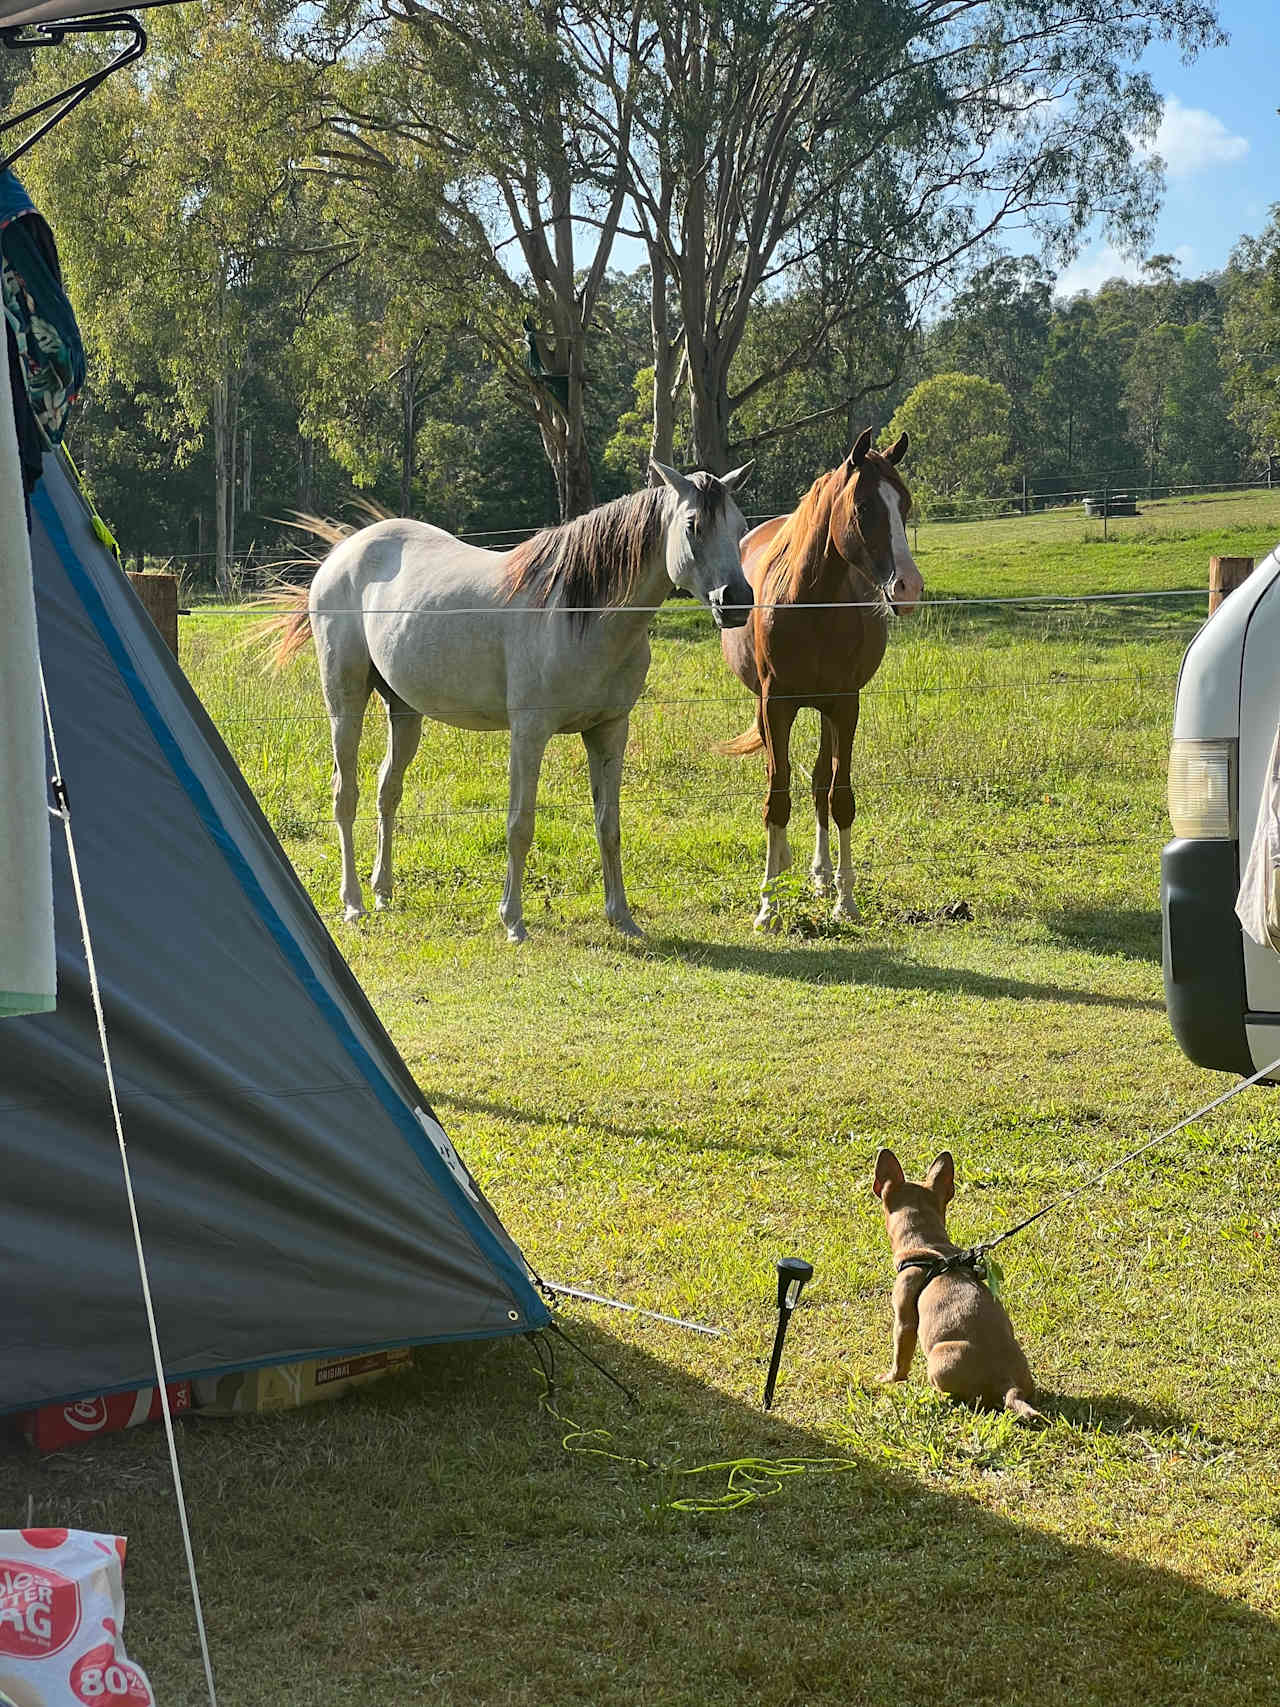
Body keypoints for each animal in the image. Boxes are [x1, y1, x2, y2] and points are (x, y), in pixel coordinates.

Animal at [266, 460, 757, 942]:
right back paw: (353, 904)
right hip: (345, 700)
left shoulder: (610, 731)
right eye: (693, 525)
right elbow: (520, 825)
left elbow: (609, 826)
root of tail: (343, 551)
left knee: (388, 791)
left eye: (740, 526)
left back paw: (383, 892)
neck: (576, 614)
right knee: (345, 794)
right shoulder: (529, 735)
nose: (736, 601)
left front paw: (622, 917)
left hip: (403, 711)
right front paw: (513, 920)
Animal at [723, 433, 921, 928]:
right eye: (864, 506)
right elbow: (776, 797)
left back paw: (822, 875)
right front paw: (768, 905)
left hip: (827, 711)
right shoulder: (776, 706)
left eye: (905, 503)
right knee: (781, 778)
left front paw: (844, 901)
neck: (810, 603)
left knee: (817, 782)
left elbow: (838, 795)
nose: (909, 587)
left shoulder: (845, 705)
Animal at [866, 1147, 1044, 1427]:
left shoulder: (904, 1321)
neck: (928, 1246)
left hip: (939, 1359)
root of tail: (1009, 1385)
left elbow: (900, 1358)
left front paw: (890, 1379)